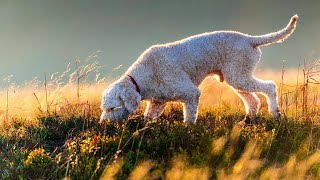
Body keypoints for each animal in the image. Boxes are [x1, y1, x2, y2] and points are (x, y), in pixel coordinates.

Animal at [100, 15, 298, 124]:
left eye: (112, 108)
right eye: (104, 108)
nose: (103, 124)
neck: (144, 76)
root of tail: (250, 39)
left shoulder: (191, 94)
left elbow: (189, 118)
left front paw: (187, 131)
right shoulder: (158, 102)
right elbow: (149, 117)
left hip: (239, 76)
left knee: (270, 87)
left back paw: (275, 113)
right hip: (236, 77)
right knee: (254, 101)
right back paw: (248, 120)